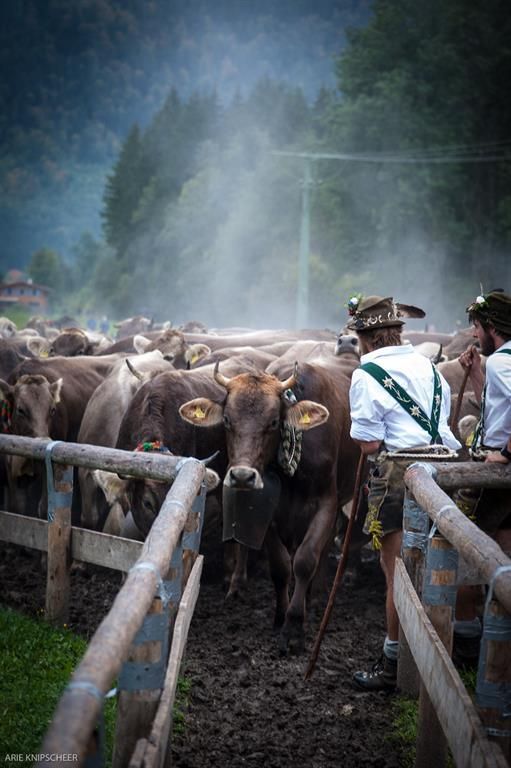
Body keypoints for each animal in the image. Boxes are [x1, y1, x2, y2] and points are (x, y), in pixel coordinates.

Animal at [180, 360, 360, 656]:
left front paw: (295, 628)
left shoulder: (327, 503)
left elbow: (305, 560)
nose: (242, 476)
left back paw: (315, 595)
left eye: (274, 422)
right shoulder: (268, 513)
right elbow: (281, 566)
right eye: (227, 420)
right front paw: (280, 616)